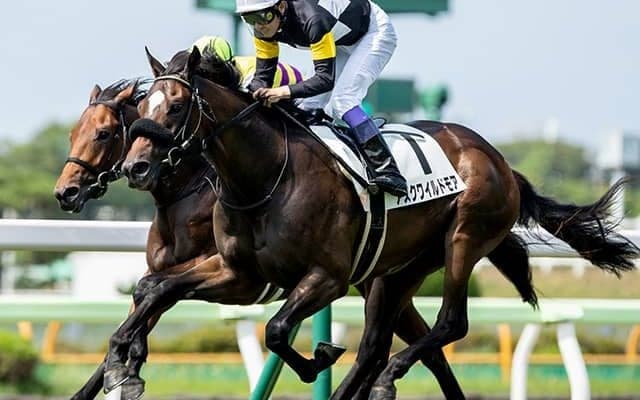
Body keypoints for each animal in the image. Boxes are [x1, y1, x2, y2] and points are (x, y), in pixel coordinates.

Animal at [117, 47, 637, 400]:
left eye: (176, 106)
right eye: (140, 108)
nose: (135, 167)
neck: (264, 177)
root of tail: (501, 162)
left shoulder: (326, 277)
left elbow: (278, 330)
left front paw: (318, 359)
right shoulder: (238, 273)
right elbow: (158, 288)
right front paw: (125, 358)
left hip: (463, 240)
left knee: (448, 324)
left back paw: (389, 377)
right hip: (396, 271)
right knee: (375, 345)